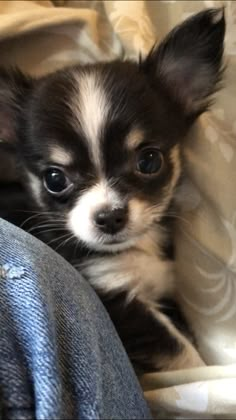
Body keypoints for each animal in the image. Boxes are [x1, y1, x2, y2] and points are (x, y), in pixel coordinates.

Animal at [0, 7, 225, 374]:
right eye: (55, 179)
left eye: (149, 161)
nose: (108, 217)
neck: (133, 253)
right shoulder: (114, 298)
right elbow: (181, 351)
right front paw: (204, 371)